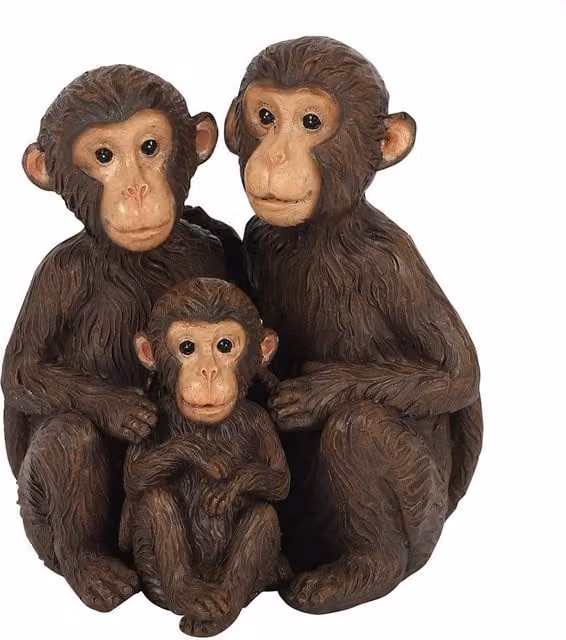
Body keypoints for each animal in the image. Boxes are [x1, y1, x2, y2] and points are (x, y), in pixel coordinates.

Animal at [1, 65, 240, 612]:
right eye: (105, 156)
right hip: (35, 524)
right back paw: (91, 568)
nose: (135, 189)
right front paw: (122, 408)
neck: (136, 260)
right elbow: (21, 371)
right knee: (69, 437)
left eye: (149, 146)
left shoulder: (205, 254)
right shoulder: (57, 273)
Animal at [119, 277, 290, 637]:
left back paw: (225, 606)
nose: (208, 371)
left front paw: (228, 488)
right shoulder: (155, 413)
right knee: (155, 500)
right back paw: (191, 595)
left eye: (224, 345)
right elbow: (135, 475)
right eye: (187, 348)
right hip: (151, 575)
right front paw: (203, 454)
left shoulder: (260, 420)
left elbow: (281, 480)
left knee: (263, 514)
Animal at [224, 36, 483, 613]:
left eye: (311, 121)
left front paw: (316, 392)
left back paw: (362, 572)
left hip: (424, 518)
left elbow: (458, 375)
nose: (275, 155)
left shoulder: (392, 263)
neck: (317, 234)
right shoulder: (259, 234)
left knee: (360, 428)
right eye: (266, 116)